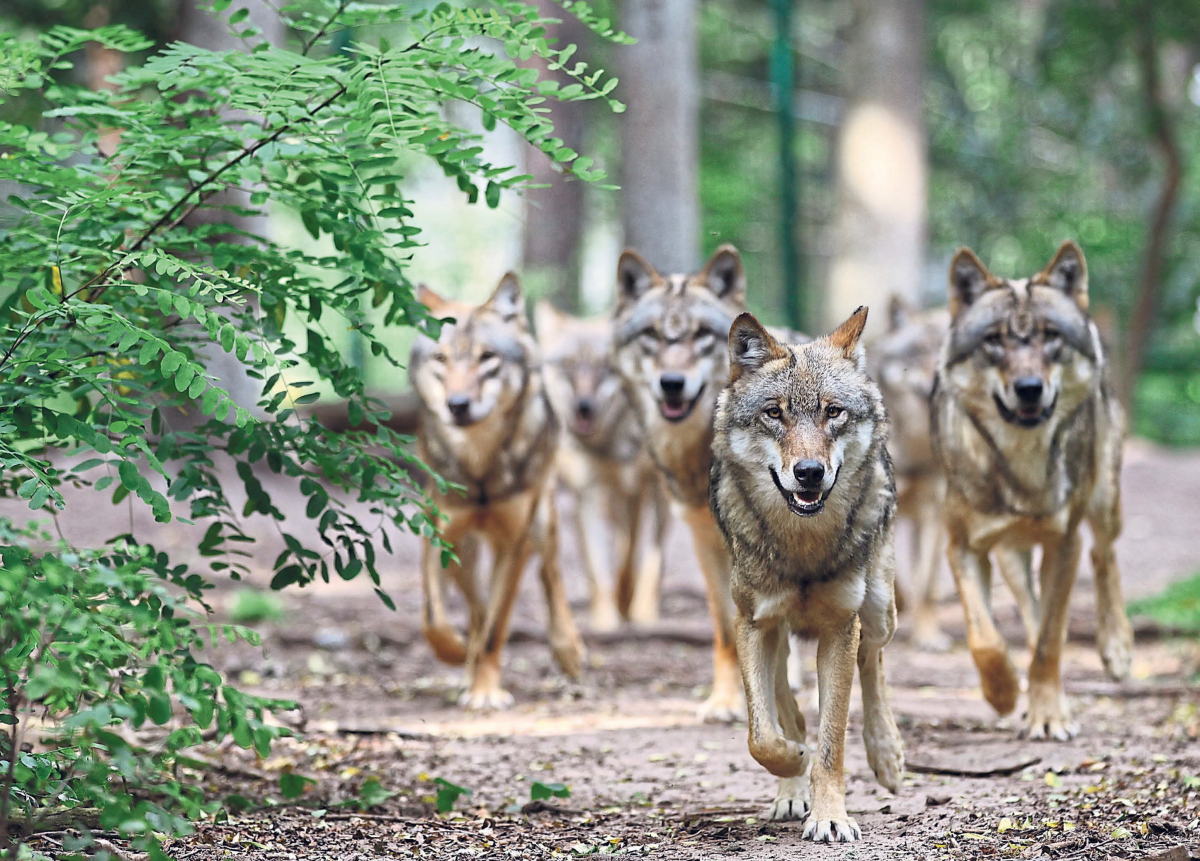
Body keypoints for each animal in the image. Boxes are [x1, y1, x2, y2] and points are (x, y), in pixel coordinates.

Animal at [408, 278, 585, 714]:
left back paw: (568, 649)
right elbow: (435, 618)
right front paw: (458, 656)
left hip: (542, 521)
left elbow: (495, 627)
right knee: (475, 604)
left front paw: (486, 691)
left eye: (486, 358)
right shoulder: (439, 534)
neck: (480, 468)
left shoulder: (513, 543)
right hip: (465, 551)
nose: (457, 405)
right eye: (441, 358)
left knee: (550, 574)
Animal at [532, 302, 672, 628]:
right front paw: (606, 620)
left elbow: (651, 559)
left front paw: (643, 613)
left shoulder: (661, 491)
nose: (584, 407)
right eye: (569, 365)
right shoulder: (589, 494)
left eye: (603, 367)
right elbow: (599, 571)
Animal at [710, 309, 902, 844]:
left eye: (833, 412)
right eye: (773, 414)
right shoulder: (753, 624)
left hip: (878, 610)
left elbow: (833, 738)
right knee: (785, 706)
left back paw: (887, 755)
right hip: (775, 634)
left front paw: (830, 816)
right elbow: (761, 736)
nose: (810, 472)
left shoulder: (840, 627)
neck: (802, 546)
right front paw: (795, 765)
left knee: (874, 661)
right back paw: (792, 787)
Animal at [926, 242, 1132, 743]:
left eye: (1050, 336)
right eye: (994, 341)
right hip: (1011, 557)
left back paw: (1116, 648)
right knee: (1032, 611)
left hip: (1103, 502)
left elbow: (1049, 644)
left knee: (1103, 555)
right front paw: (1002, 694)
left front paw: (1048, 716)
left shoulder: (1064, 544)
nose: (1029, 389)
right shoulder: (962, 548)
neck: (1022, 467)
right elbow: (985, 639)